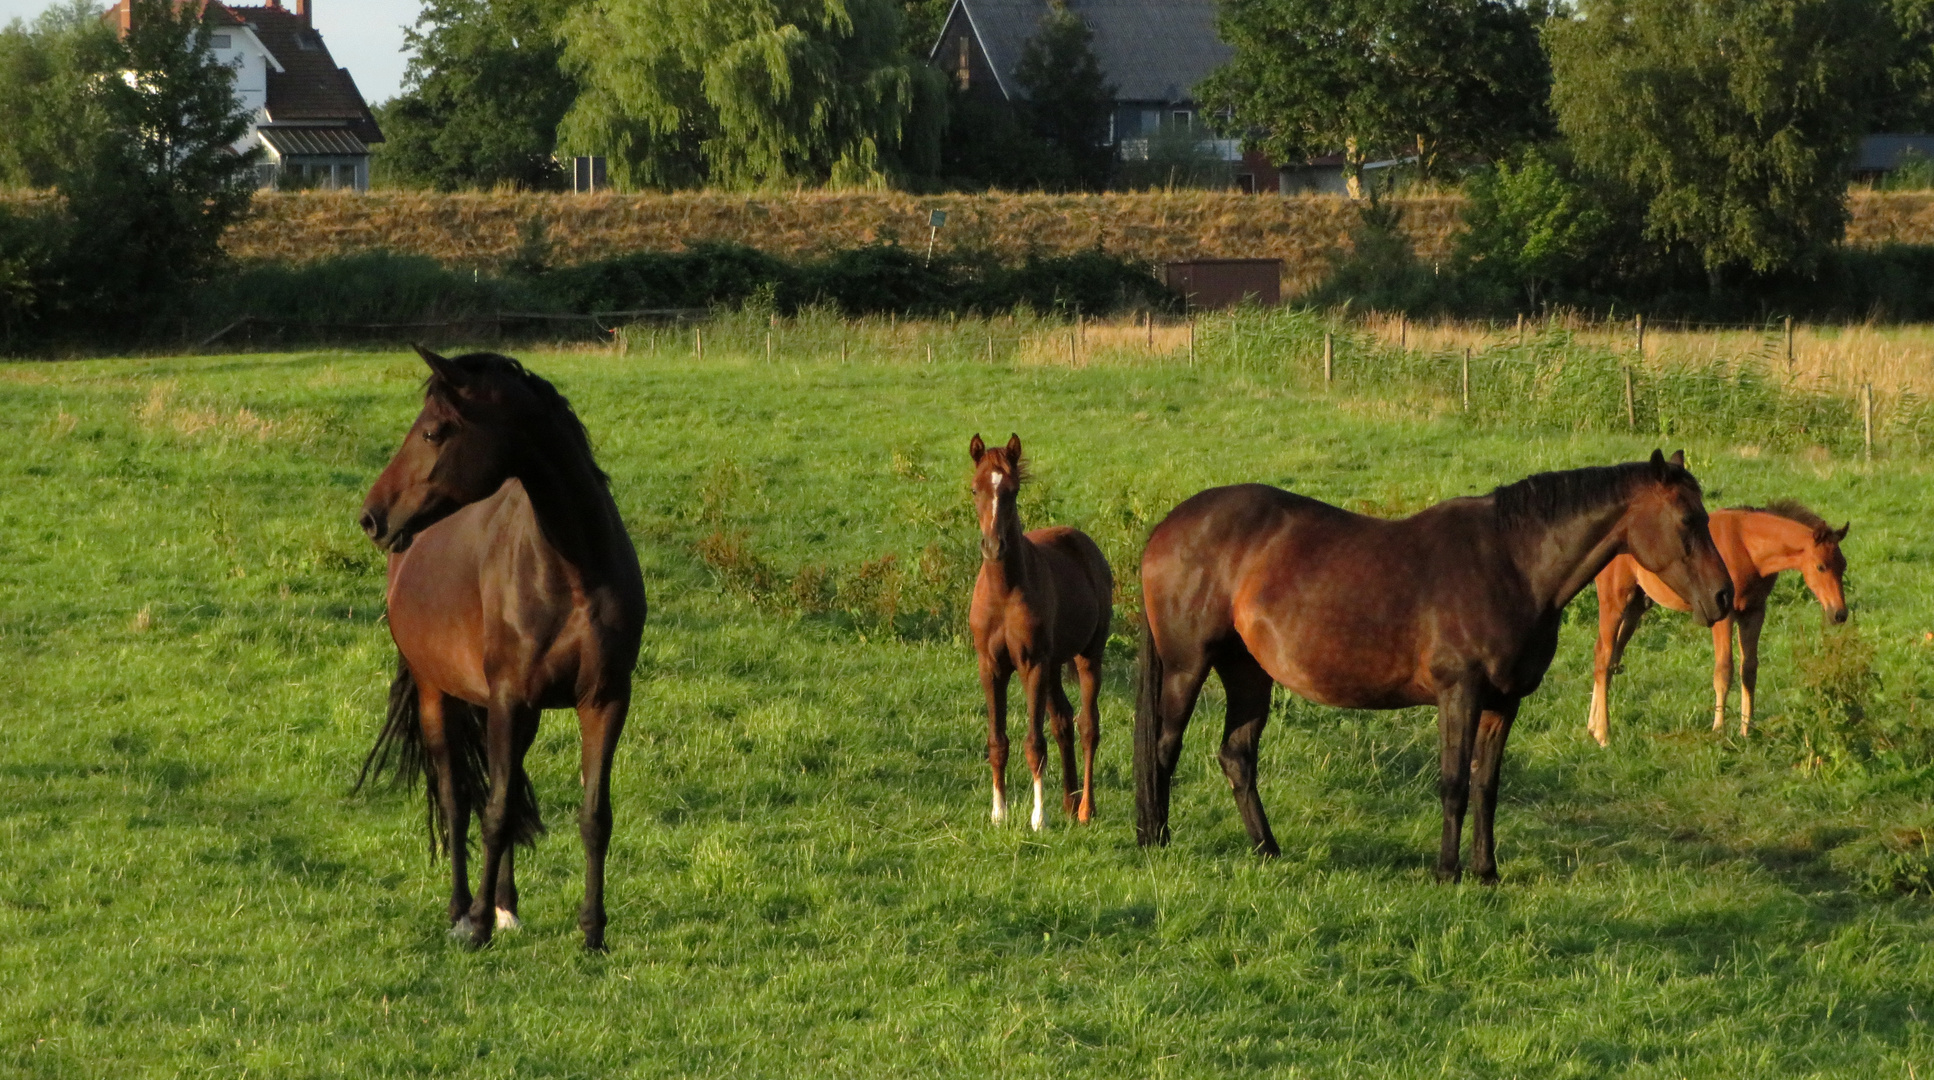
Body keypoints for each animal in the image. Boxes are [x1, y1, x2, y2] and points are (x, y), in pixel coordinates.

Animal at [355, 346, 642, 948]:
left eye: (433, 432)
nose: (371, 516)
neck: (573, 573)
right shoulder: (509, 697)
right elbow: (494, 810)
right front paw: (479, 926)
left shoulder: (604, 700)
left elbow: (594, 816)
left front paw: (593, 934)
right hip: (438, 693)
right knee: (457, 796)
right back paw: (464, 909)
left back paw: (506, 904)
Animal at [974, 431, 1113, 828]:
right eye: (975, 489)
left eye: (1012, 491)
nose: (993, 546)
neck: (1004, 594)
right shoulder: (991, 667)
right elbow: (998, 742)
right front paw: (999, 813)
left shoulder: (1031, 664)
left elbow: (1034, 744)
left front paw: (1039, 818)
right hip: (1053, 666)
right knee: (1063, 721)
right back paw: (1069, 801)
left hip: (1087, 656)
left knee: (1088, 726)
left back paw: (1084, 809)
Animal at [1129, 452, 1732, 886]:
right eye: (1687, 519)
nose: (1724, 597)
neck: (1512, 565)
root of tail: (1166, 528)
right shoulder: (1458, 694)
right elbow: (1453, 784)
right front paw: (1447, 872)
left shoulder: (1503, 702)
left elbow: (1486, 785)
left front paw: (1486, 872)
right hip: (1188, 667)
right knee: (1163, 748)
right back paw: (1156, 839)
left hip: (1249, 672)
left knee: (1236, 756)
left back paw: (1268, 850)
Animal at [1593, 507, 1848, 743]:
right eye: (1821, 566)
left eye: (1843, 565)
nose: (1839, 614)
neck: (1746, 548)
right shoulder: (1723, 615)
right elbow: (1724, 670)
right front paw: (1718, 729)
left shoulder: (1754, 612)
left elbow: (1749, 670)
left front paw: (1747, 730)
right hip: (1614, 601)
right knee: (1603, 657)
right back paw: (1603, 734)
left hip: (1636, 605)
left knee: (1611, 656)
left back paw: (1592, 726)